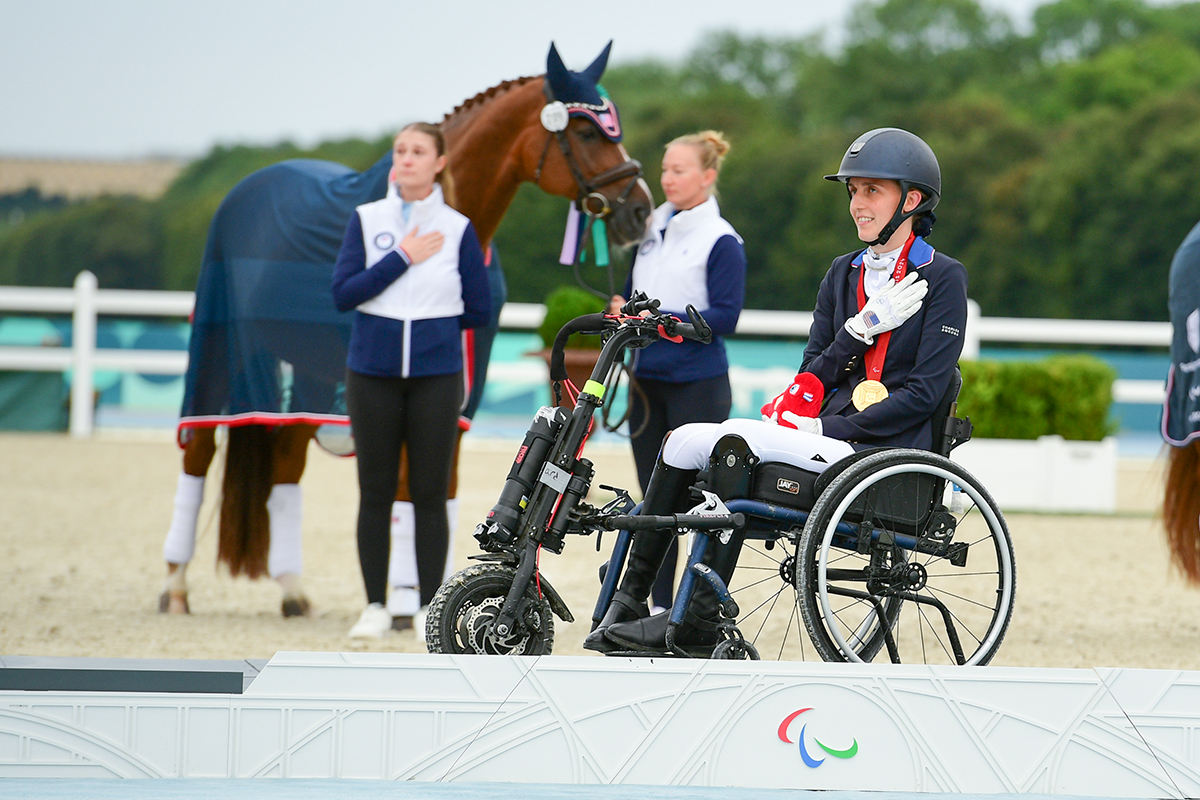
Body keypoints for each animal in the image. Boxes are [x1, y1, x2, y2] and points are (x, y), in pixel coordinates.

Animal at [160, 43, 652, 618]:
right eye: (588, 133)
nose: (640, 209)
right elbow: (400, 493)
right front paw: (400, 605)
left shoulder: (457, 398)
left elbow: (439, 490)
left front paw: (419, 602)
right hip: (220, 356)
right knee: (197, 457)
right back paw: (175, 587)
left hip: (307, 377)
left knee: (284, 469)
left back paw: (293, 592)